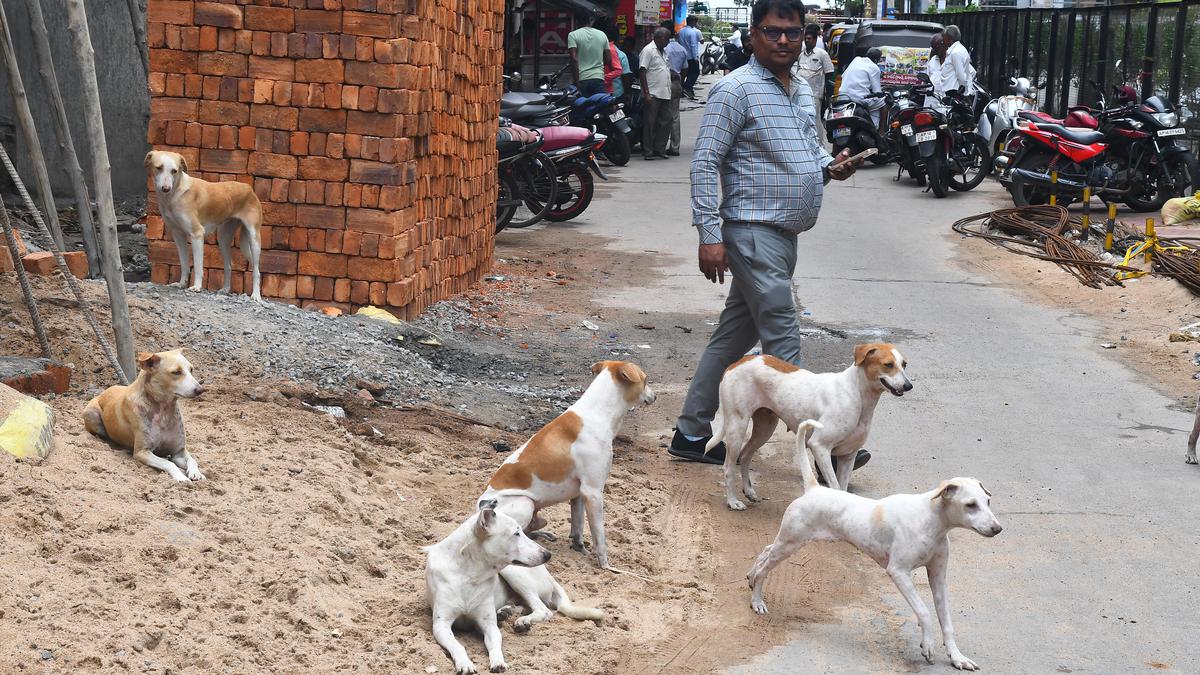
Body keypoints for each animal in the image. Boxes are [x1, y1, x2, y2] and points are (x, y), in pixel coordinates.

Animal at [82, 345, 206, 478]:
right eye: (176, 372)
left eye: (191, 369)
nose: (200, 390)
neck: (164, 409)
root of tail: (104, 392)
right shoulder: (142, 452)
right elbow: (168, 463)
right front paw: (181, 477)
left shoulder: (179, 452)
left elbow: (192, 460)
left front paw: (196, 473)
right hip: (91, 415)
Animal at [144, 152, 264, 302]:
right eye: (159, 168)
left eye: (174, 171)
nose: (166, 189)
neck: (175, 194)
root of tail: (249, 188)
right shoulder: (178, 235)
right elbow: (184, 263)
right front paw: (182, 283)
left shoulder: (197, 234)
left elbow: (198, 265)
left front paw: (196, 286)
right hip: (223, 239)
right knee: (228, 266)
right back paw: (225, 289)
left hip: (254, 239)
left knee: (257, 271)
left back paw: (256, 295)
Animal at [427, 497, 604, 667]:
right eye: (516, 533)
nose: (548, 555)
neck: (469, 575)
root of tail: (550, 577)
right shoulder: (441, 626)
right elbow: (457, 645)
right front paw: (465, 664)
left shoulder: (488, 625)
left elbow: (495, 644)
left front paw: (498, 662)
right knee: (524, 605)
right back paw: (505, 612)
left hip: (513, 572)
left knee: (543, 609)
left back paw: (523, 620)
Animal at [477, 360, 657, 564]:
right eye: (646, 380)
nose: (655, 396)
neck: (597, 413)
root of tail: (479, 507)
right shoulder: (593, 492)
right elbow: (600, 536)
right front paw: (604, 564)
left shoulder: (579, 494)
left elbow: (578, 527)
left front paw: (580, 548)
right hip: (525, 502)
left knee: (530, 530)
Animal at [700, 341, 907, 504]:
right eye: (888, 365)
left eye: (904, 364)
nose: (908, 385)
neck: (856, 393)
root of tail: (738, 362)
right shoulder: (820, 446)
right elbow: (835, 486)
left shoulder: (848, 456)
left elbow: (843, 487)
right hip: (737, 426)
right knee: (728, 467)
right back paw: (732, 501)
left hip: (765, 429)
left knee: (744, 457)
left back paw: (749, 491)